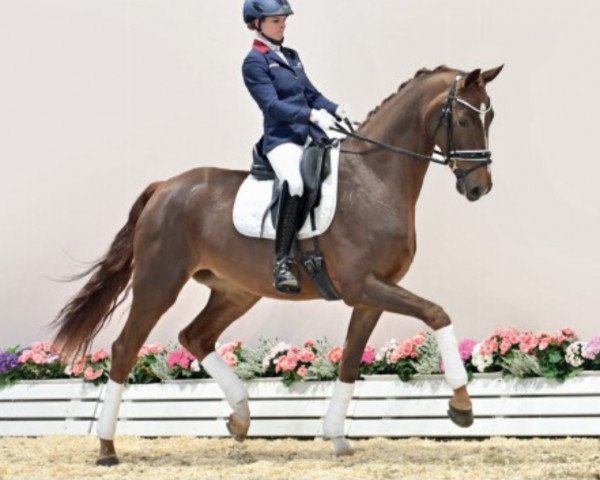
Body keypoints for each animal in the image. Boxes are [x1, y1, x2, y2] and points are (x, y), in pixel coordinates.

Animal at [52, 64, 502, 464]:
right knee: (126, 348)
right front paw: (462, 405)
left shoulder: (371, 296)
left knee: (195, 336)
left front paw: (337, 437)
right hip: (159, 282)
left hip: (235, 292)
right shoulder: (363, 286)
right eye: (464, 118)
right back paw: (107, 449)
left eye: (491, 116)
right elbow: (437, 314)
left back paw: (239, 417)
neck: (374, 179)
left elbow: (351, 361)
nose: (479, 187)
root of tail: (164, 187)